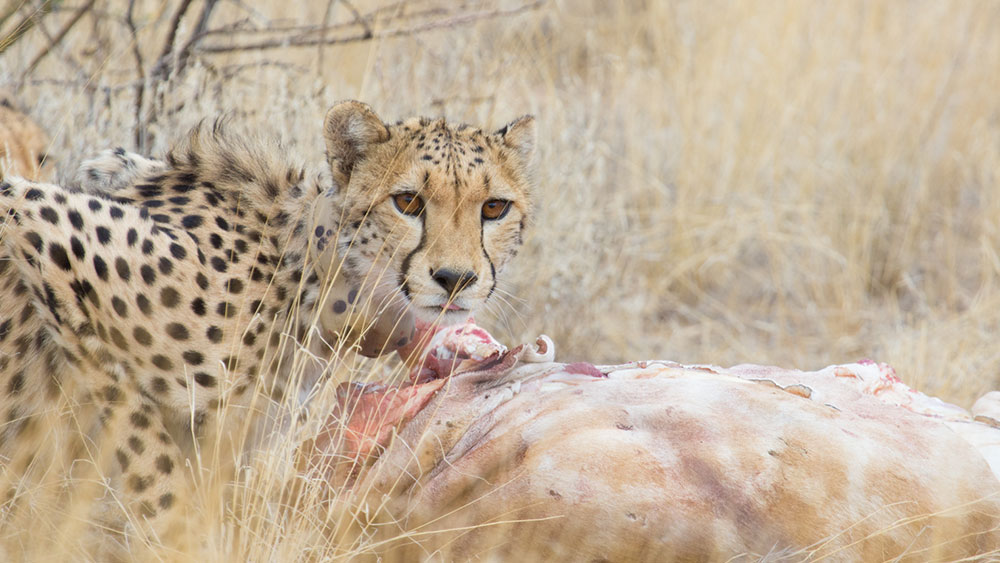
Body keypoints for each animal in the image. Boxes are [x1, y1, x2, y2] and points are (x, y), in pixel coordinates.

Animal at [0, 101, 540, 556]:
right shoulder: (45, 226)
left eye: (494, 208)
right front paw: (182, 543)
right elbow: (155, 474)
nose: (456, 279)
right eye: (407, 202)